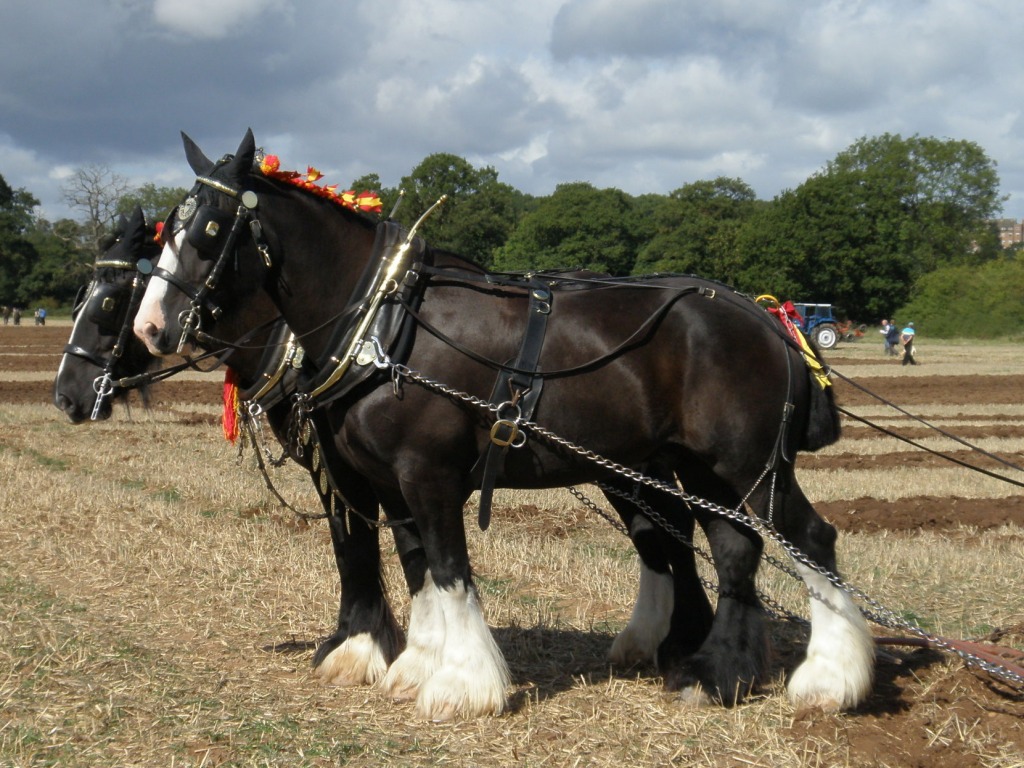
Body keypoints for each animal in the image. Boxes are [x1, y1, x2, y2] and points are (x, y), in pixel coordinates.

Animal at [132, 129, 876, 724]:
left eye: (211, 231)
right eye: (169, 228)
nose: (151, 327)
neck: (383, 323)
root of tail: (767, 318)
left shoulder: (426, 475)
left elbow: (450, 570)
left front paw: (462, 686)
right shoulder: (388, 483)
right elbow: (417, 568)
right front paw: (414, 667)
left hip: (750, 467)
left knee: (810, 541)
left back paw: (828, 680)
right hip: (697, 468)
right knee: (732, 549)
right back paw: (719, 674)